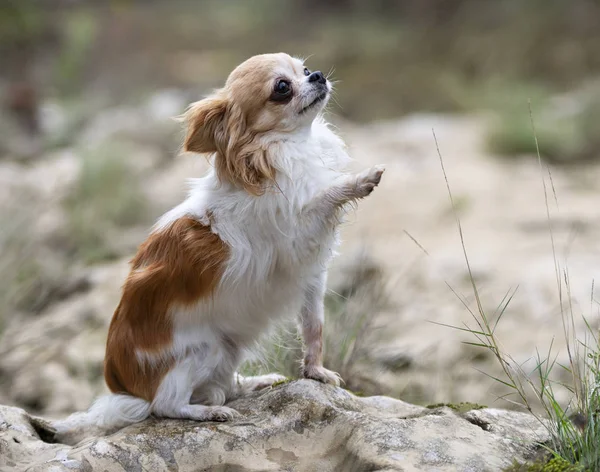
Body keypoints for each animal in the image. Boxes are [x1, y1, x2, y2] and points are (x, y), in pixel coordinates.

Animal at [52, 53, 384, 444]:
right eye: (281, 88)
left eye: (303, 70)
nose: (317, 75)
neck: (292, 148)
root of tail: (126, 388)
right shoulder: (295, 230)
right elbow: (324, 195)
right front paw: (358, 182)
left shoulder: (311, 277)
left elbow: (314, 328)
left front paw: (315, 371)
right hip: (202, 350)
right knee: (167, 405)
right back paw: (208, 412)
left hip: (227, 347)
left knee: (223, 386)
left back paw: (253, 383)